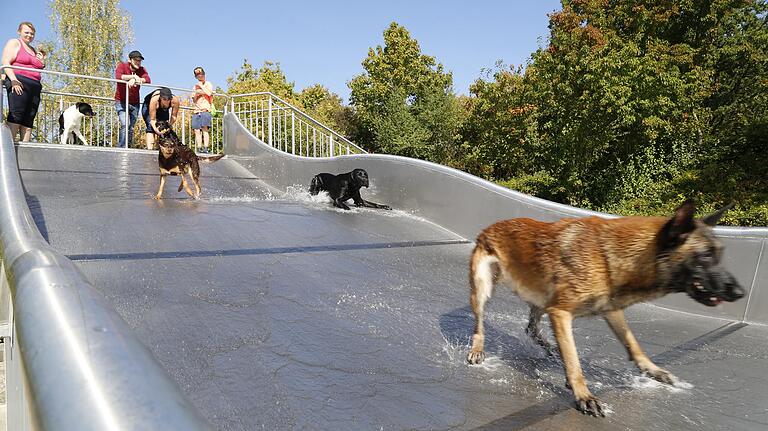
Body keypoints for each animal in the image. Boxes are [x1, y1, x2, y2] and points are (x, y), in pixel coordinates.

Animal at [468, 202, 744, 418]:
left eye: (720, 254)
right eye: (706, 255)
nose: (740, 292)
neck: (615, 256)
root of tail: (492, 226)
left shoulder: (611, 310)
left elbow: (632, 343)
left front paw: (652, 370)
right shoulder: (562, 313)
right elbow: (574, 361)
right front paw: (583, 395)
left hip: (540, 301)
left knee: (531, 327)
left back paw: (549, 347)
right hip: (483, 288)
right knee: (480, 325)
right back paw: (477, 350)